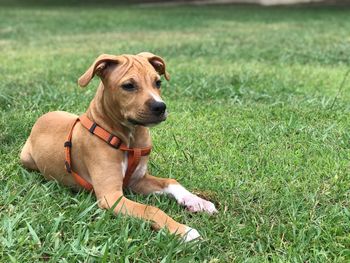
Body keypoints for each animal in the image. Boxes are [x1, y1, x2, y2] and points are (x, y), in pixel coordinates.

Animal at [20, 52, 217, 242]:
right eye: (128, 86)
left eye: (158, 82)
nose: (160, 106)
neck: (129, 138)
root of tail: (42, 117)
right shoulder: (111, 196)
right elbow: (151, 209)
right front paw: (184, 231)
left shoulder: (137, 180)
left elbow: (171, 181)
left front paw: (197, 201)